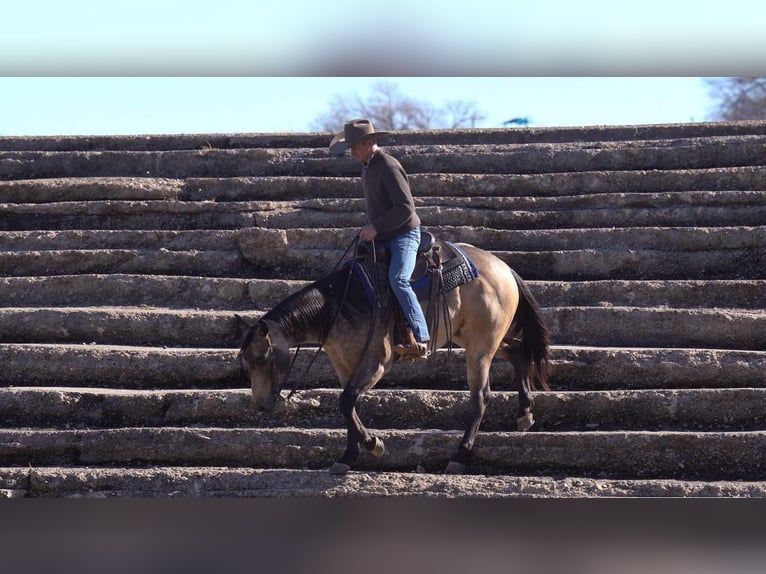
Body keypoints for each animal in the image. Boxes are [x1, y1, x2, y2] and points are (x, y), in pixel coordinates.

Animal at [237, 234, 548, 476]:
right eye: (246, 363)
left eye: (262, 359)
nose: (260, 406)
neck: (337, 306)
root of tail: (504, 267)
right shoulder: (344, 366)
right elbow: (348, 406)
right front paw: (347, 457)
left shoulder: (377, 364)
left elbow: (346, 402)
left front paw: (373, 445)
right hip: (477, 338)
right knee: (519, 352)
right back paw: (525, 414)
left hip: (481, 347)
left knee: (481, 396)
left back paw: (460, 457)